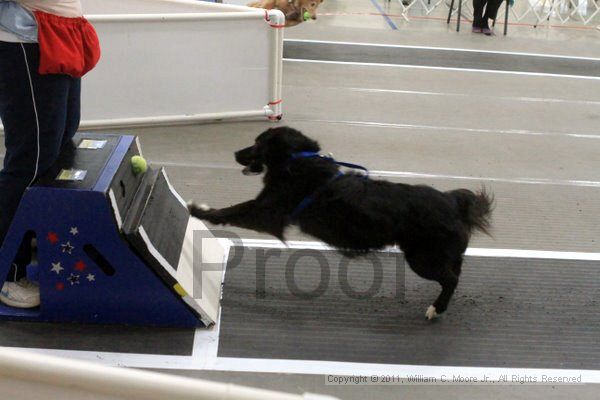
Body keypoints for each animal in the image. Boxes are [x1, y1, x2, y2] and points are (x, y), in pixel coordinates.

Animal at [190, 126, 494, 320]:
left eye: (256, 143)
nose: (234, 153)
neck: (296, 161)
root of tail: (453, 202)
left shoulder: (268, 211)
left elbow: (232, 210)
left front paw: (199, 210)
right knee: (456, 270)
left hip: (421, 258)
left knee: (451, 279)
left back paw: (437, 309)